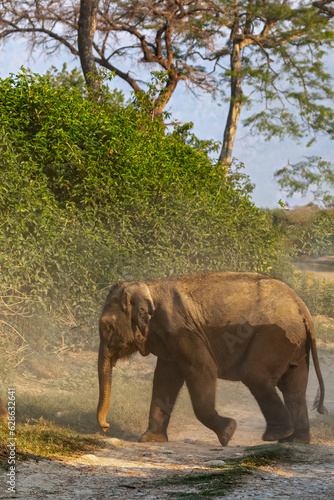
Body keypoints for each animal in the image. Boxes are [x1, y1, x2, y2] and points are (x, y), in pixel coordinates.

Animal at [97, 272, 326, 448]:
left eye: (107, 327)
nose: (106, 427)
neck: (149, 286)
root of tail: (303, 309)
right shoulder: (169, 338)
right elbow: (164, 379)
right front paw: (149, 440)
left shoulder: (184, 332)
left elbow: (202, 370)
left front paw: (228, 432)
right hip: (295, 343)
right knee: (294, 388)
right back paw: (294, 441)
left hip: (273, 336)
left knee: (256, 377)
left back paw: (276, 436)